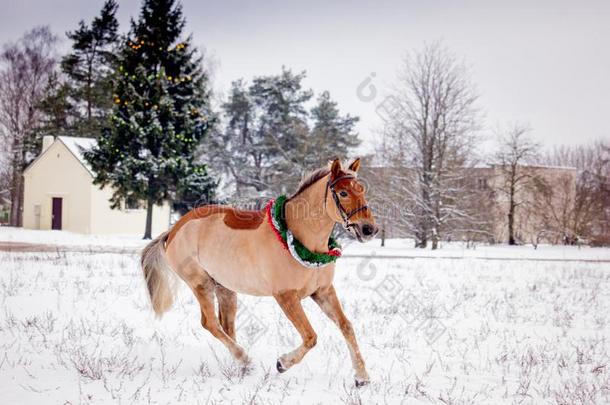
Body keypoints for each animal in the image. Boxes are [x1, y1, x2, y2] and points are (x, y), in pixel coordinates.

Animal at [139, 157, 376, 386]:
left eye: (362, 189)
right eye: (343, 193)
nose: (369, 229)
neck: (299, 239)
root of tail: (173, 230)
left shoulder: (323, 291)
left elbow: (346, 327)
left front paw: (362, 377)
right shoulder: (286, 296)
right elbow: (310, 336)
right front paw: (282, 363)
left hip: (225, 288)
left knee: (226, 326)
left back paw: (240, 366)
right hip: (200, 283)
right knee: (211, 324)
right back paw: (245, 359)